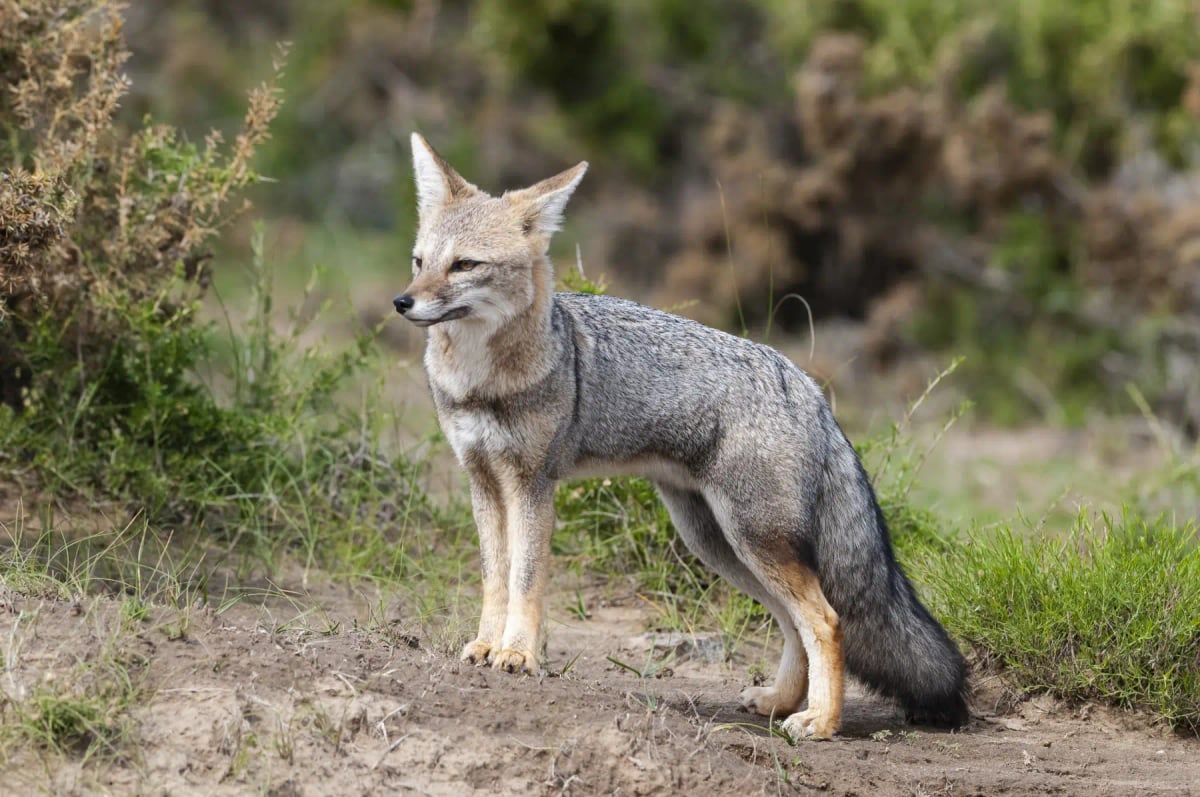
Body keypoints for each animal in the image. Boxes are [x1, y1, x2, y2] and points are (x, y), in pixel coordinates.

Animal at [393, 133, 969, 739]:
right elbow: (494, 578)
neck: (479, 382)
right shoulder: (482, 480)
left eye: (464, 265)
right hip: (720, 543)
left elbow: (525, 580)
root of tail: (806, 383)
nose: (402, 302)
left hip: (752, 538)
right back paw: (780, 702)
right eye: (419, 261)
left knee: (827, 620)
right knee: (793, 622)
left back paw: (820, 721)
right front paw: (485, 645)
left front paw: (519, 655)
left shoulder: (532, 484)